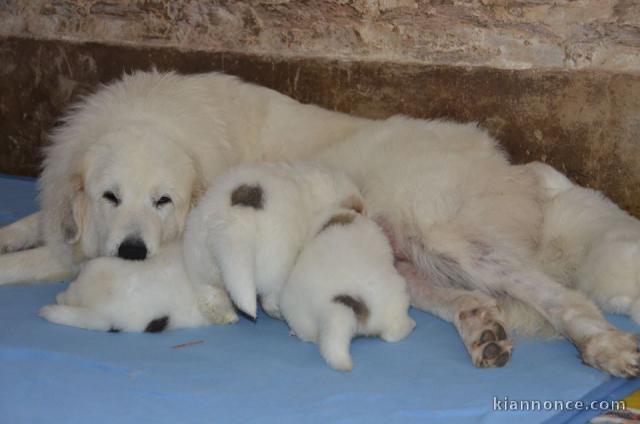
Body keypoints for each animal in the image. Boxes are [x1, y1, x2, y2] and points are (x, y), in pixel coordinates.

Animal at [280, 209, 416, 372]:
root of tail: (336, 302)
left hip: (300, 315)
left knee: (310, 335)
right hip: (395, 299)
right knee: (393, 333)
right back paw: (410, 324)